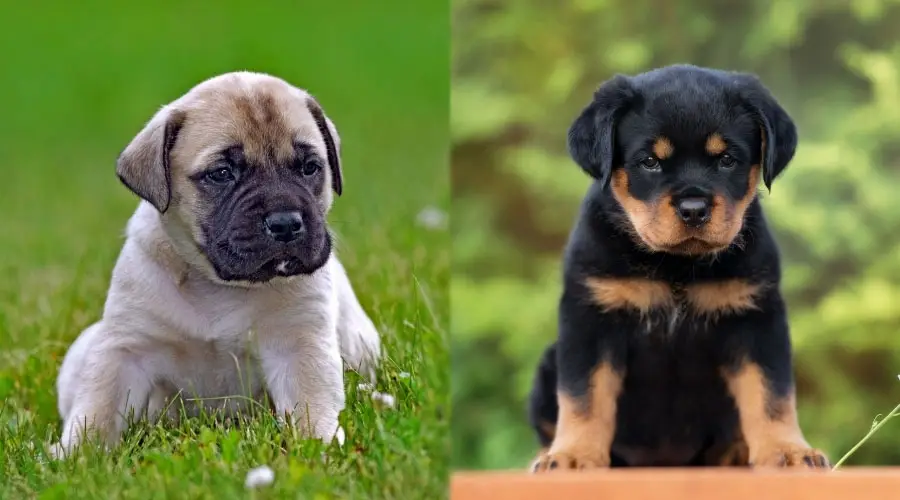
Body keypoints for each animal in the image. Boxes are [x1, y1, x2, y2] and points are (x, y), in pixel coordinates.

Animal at [50, 72, 380, 458]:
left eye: (310, 168)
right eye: (222, 174)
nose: (286, 223)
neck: (218, 284)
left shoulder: (299, 343)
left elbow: (310, 403)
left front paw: (318, 447)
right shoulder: (126, 348)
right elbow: (97, 409)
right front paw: (75, 457)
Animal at [528, 64, 828, 470]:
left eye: (727, 159)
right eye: (650, 162)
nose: (693, 209)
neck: (676, 268)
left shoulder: (756, 319)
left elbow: (771, 392)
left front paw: (789, 451)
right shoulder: (591, 318)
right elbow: (583, 395)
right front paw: (573, 456)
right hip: (549, 362)